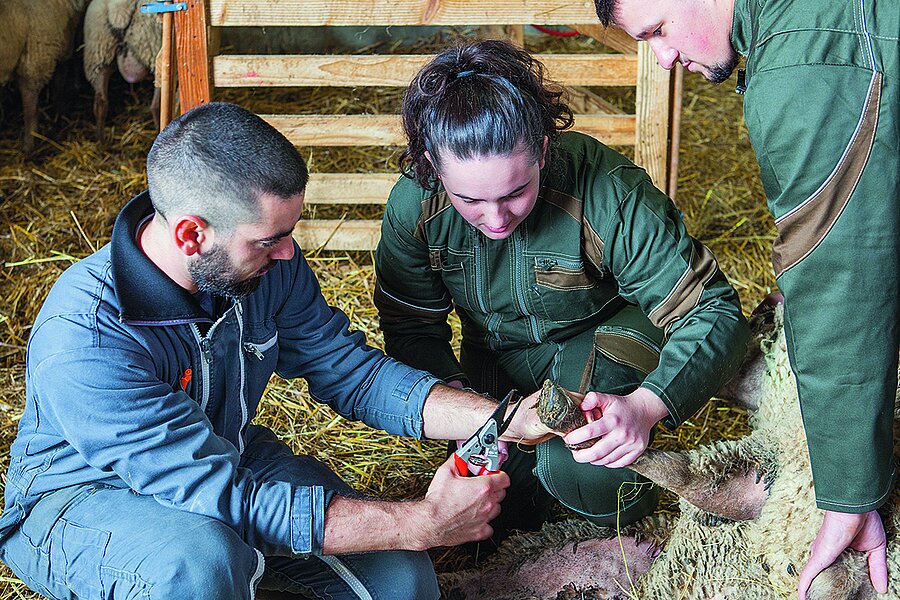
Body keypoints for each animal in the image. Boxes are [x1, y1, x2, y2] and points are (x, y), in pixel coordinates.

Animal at [82, 0, 162, 144]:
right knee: (156, 106)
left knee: (100, 103)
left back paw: (101, 144)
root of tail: (119, 9)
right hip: (154, 52)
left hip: (99, 55)